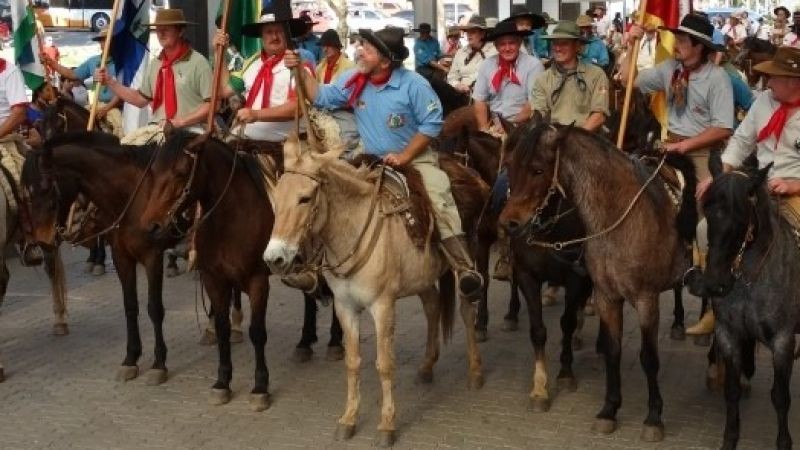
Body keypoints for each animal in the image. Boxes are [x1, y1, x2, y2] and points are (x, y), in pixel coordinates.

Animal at [138, 131, 344, 412]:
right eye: (154, 170)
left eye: (181, 172)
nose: (152, 226)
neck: (231, 217)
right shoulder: (214, 279)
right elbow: (222, 328)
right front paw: (222, 382)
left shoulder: (257, 280)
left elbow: (257, 332)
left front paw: (260, 387)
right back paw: (305, 342)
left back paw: (335, 341)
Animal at [264, 134, 488, 446]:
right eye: (276, 199)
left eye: (305, 198)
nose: (274, 258)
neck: (352, 230)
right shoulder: (345, 307)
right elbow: (353, 362)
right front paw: (348, 419)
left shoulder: (383, 307)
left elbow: (384, 364)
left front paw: (387, 425)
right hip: (422, 277)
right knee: (432, 307)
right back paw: (427, 366)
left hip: (469, 258)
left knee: (468, 309)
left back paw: (476, 371)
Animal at [500, 121, 692, 442]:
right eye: (509, 165)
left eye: (538, 170)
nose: (508, 224)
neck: (619, 219)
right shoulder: (605, 294)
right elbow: (612, 351)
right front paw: (608, 410)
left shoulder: (646, 299)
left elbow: (649, 358)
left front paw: (654, 418)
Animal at [692, 166, 800, 450]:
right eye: (707, 210)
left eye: (741, 216)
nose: (715, 283)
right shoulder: (728, 335)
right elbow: (732, 392)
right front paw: (730, 439)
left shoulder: (783, 341)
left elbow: (780, 396)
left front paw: (784, 442)